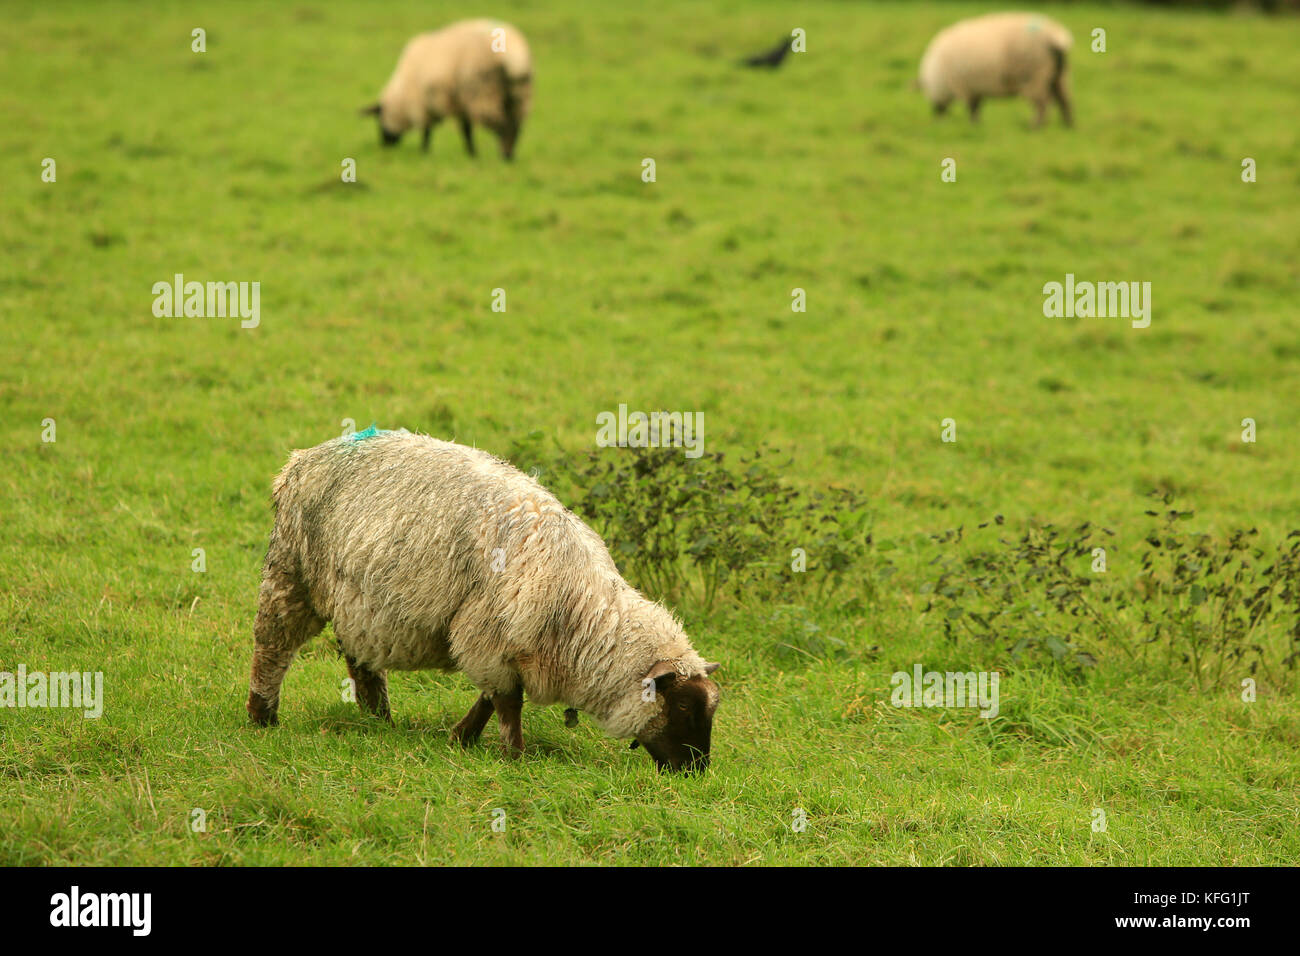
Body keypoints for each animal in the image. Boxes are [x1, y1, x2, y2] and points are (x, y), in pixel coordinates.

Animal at [245, 428, 721, 773]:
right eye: (681, 705)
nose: (695, 771)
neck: (580, 612)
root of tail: (301, 460)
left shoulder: (505, 647)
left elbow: (492, 697)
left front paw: (462, 737)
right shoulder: (489, 637)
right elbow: (508, 703)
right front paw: (513, 754)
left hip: (358, 602)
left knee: (360, 662)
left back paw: (378, 719)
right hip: (292, 574)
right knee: (272, 648)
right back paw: (262, 716)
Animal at [361, 19, 533, 160]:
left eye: (379, 120)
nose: (385, 146)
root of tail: (516, 57)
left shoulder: (423, 105)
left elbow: (427, 131)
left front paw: (424, 152)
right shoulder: (461, 104)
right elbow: (466, 130)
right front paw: (471, 153)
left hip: (484, 92)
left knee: (503, 126)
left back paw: (505, 155)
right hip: (519, 96)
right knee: (515, 125)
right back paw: (510, 155)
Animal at [917, 12, 1073, 127]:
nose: (937, 118)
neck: (938, 74)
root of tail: (1056, 37)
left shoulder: (965, 86)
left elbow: (972, 108)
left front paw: (974, 124)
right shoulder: (974, 87)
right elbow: (976, 106)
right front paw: (977, 124)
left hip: (1034, 75)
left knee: (1042, 104)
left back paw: (1035, 126)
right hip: (1059, 75)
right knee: (1065, 100)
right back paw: (1068, 126)